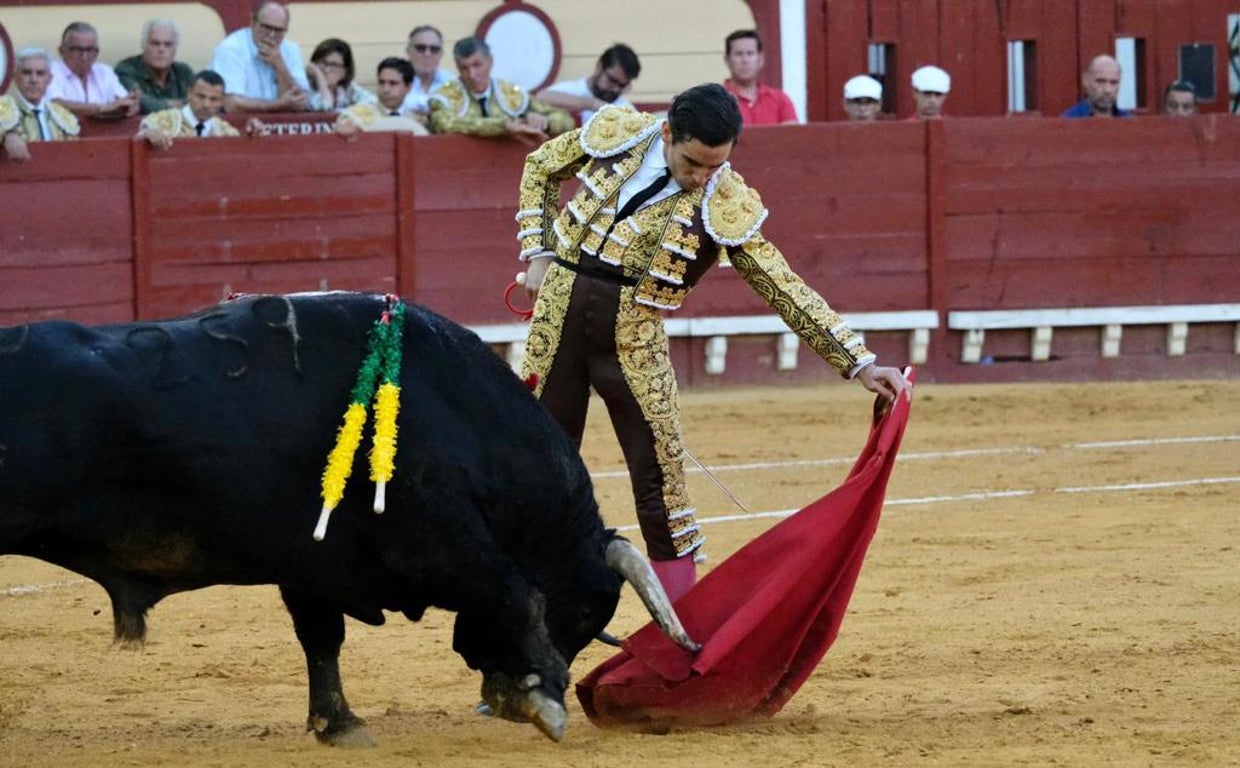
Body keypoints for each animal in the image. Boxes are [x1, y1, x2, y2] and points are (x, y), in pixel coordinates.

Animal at [2, 292, 699, 744]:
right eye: (585, 614)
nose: (490, 681)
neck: (461, 410)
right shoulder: (439, 539)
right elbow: (517, 593)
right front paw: (541, 698)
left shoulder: (309, 565)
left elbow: (321, 640)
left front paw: (335, 724)